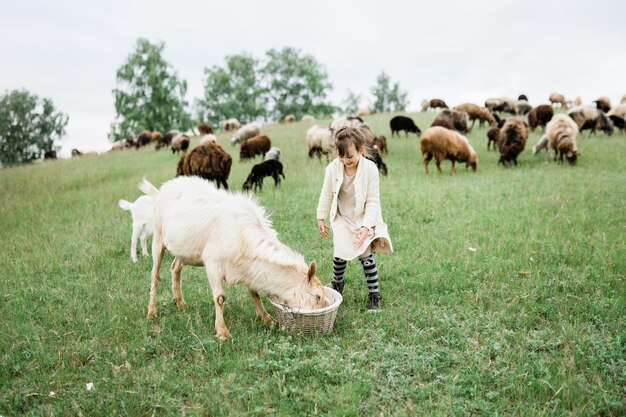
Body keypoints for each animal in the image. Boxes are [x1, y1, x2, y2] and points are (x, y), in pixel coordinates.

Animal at [139, 176, 326, 338]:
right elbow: (219, 298)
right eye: (317, 296)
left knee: (175, 268)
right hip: (158, 238)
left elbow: (254, 293)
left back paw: (180, 302)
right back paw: (151, 311)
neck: (244, 235)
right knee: (155, 275)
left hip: (184, 250)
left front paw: (266, 318)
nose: (320, 321)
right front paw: (222, 332)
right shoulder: (213, 264)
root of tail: (163, 189)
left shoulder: (248, 268)